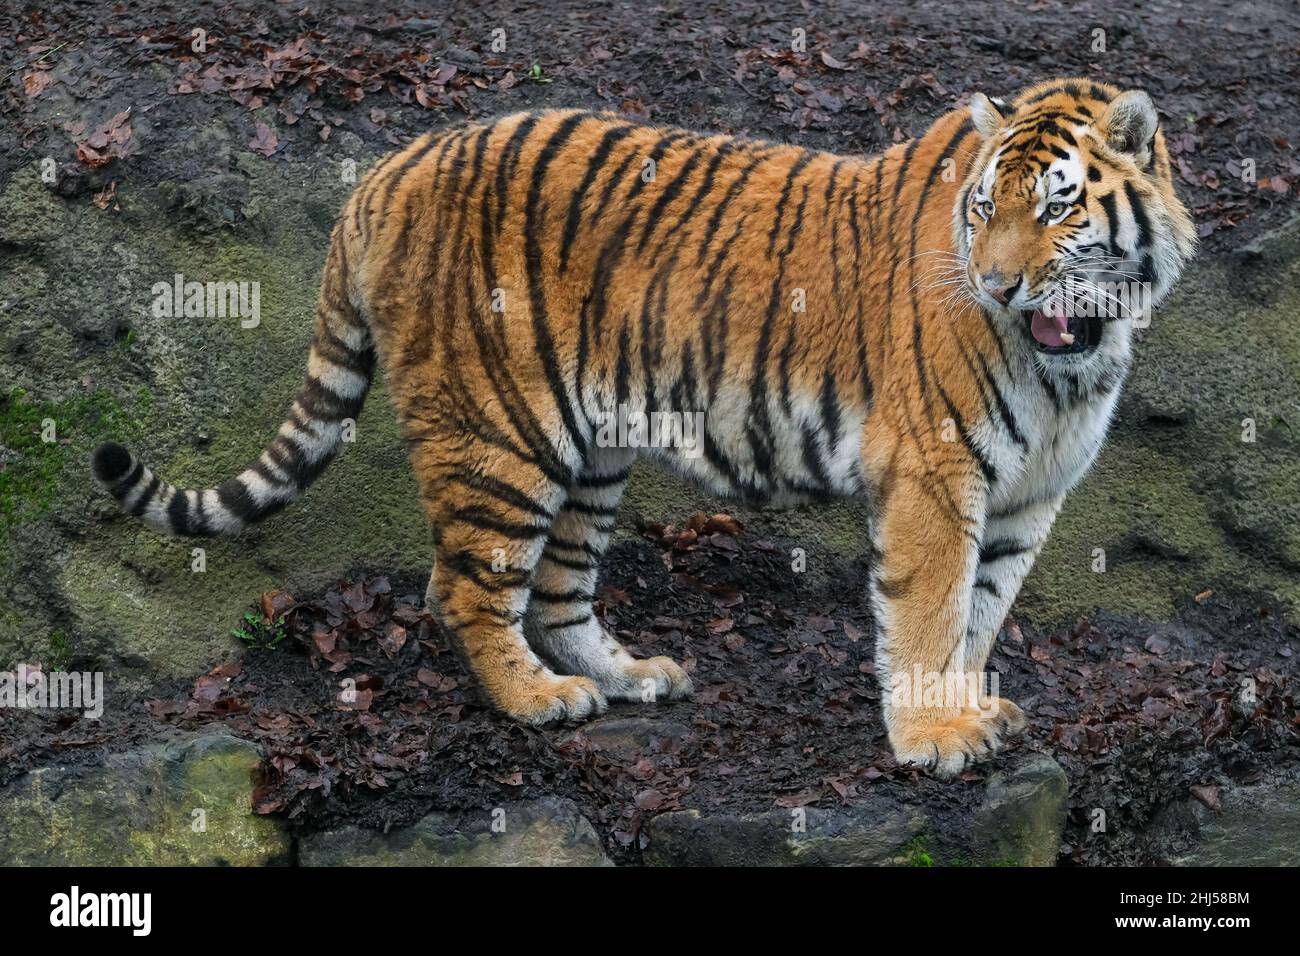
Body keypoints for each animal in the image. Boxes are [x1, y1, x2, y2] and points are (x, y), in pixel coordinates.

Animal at [96, 76, 1196, 780]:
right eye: (983, 209)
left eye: (1056, 209)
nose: (998, 284)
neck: (1077, 355)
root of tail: (383, 173)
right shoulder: (933, 473)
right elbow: (930, 611)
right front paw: (932, 738)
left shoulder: (1025, 496)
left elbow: (980, 615)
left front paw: (971, 709)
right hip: (501, 436)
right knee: (464, 587)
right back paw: (537, 700)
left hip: (591, 449)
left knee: (557, 591)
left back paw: (628, 677)